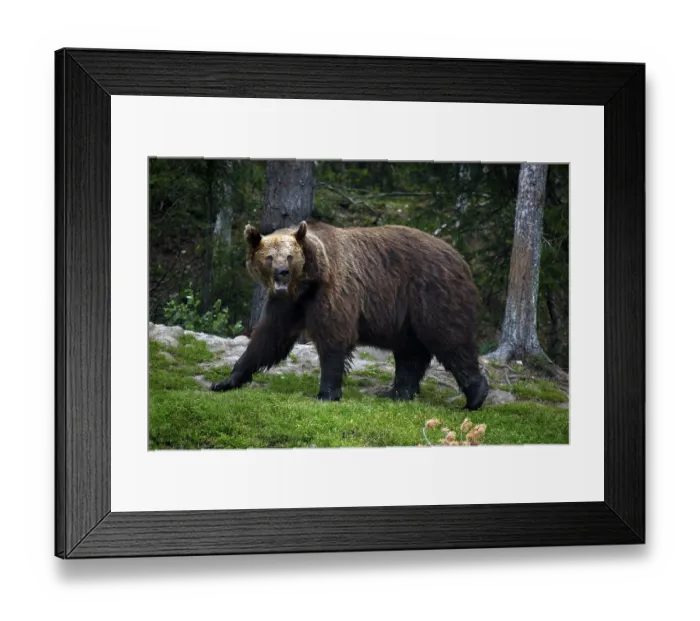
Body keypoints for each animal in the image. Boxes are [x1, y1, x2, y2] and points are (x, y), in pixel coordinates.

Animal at [211, 220, 489, 410]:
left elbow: (334, 338)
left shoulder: (334, 291)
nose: (282, 272)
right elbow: (268, 339)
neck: (306, 284)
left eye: (289, 256)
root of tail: (460, 258)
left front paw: (326, 393)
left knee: (450, 340)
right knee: (411, 352)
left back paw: (475, 396)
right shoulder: (287, 304)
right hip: (405, 316)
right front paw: (226, 381)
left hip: (432, 295)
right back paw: (396, 393)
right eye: (269, 257)